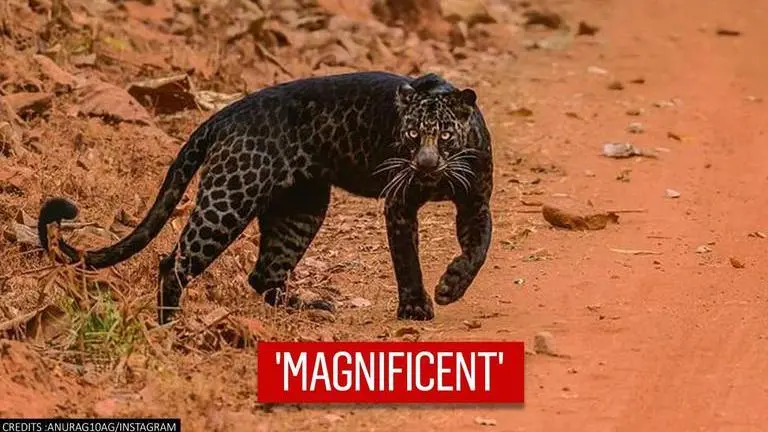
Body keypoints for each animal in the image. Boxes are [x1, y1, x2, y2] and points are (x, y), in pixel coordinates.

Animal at [37, 71, 494, 325]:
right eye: (413, 134)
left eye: (445, 135)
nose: (426, 164)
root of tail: (224, 114)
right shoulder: (399, 205)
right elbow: (407, 259)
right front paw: (417, 307)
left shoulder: (475, 203)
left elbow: (479, 248)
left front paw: (451, 286)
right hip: (230, 198)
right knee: (174, 263)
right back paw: (171, 326)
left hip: (301, 208)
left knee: (264, 274)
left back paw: (310, 306)